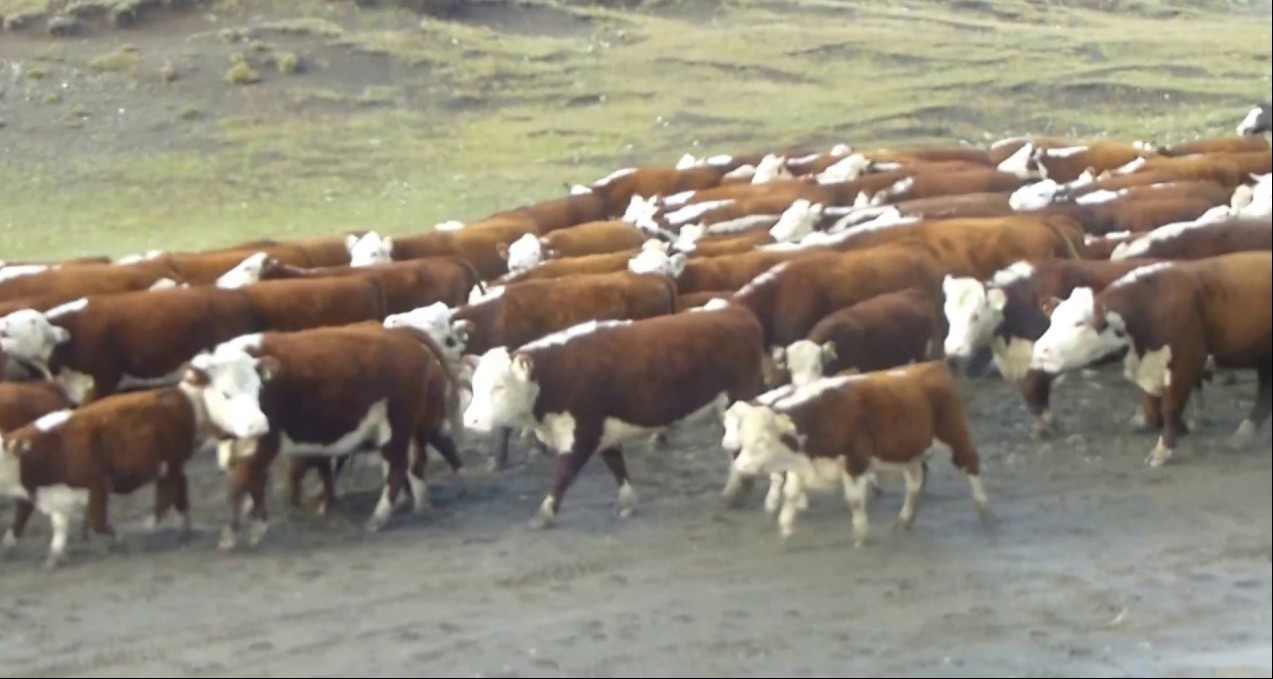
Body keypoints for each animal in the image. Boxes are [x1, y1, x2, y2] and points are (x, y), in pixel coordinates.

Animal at [0, 351, 273, 569]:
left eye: (258, 390)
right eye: (226, 393)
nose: (258, 426)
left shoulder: (98, 485)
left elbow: (99, 521)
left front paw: (119, 539)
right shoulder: (46, 496)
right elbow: (46, 525)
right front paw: (49, 556)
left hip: (170, 463)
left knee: (170, 494)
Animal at [211, 324, 463, 550]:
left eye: (253, 391)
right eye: (225, 394)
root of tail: (401, 336)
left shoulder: (267, 441)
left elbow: (242, 481)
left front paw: (233, 533)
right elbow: (256, 479)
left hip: (396, 427)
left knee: (400, 467)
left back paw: (379, 517)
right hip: (410, 428)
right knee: (418, 461)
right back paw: (421, 504)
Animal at [462, 300, 768, 529]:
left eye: (499, 386)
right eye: (475, 385)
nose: (470, 420)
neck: (557, 373)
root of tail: (737, 312)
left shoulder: (583, 432)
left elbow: (563, 474)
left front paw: (544, 514)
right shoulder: (603, 431)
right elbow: (616, 466)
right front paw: (627, 503)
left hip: (736, 402)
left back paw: (733, 492)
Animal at [727, 361, 994, 545]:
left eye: (762, 440)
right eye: (743, 436)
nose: (741, 466)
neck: (822, 416)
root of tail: (932, 366)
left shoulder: (855, 462)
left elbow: (855, 501)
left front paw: (861, 538)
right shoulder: (801, 467)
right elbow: (790, 497)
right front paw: (784, 534)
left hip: (955, 436)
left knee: (971, 465)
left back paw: (984, 512)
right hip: (910, 454)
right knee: (915, 483)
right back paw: (904, 520)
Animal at [1030, 253, 1272, 467]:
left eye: (1079, 323)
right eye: (1052, 320)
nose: (1040, 351)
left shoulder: (1184, 364)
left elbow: (1170, 408)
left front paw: (1163, 450)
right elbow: (1158, 405)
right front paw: (1184, 427)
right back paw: (1244, 435)